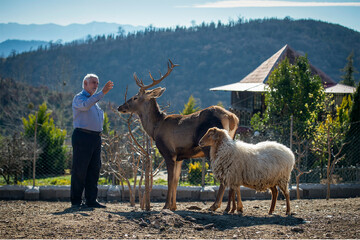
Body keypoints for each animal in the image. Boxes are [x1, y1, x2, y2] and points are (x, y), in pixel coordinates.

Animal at [117, 60, 239, 212]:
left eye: (135, 97)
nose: (120, 107)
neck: (155, 128)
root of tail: (231, 118)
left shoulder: (168, 152)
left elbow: (170, 180)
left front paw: (165, 206)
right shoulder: (181, 156)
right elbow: (176, 181)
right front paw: (174, 206)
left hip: (211, 147)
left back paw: (215, 205)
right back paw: (231, 208)